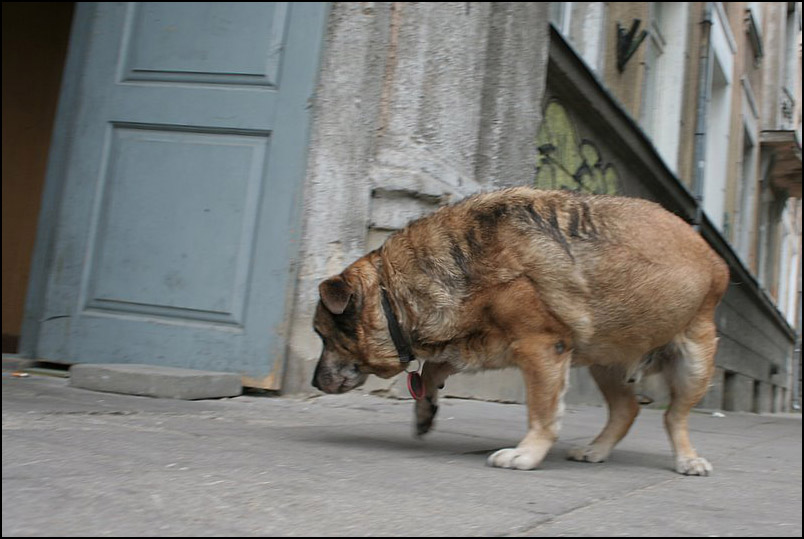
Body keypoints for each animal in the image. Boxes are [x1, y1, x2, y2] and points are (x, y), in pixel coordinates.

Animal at [312, 187, 729, 475]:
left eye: (321, 335)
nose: (314, 381)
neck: (394, 290)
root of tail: (715, 258)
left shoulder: (542, 348)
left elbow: (542, 411)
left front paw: (527, 453)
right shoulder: (471, 341)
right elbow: (432, 369)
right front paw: (425, 407)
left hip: (694, 362)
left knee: (674, 417)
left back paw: (689, 460)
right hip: (605, 361)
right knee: (626, 409)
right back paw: (596, 449)